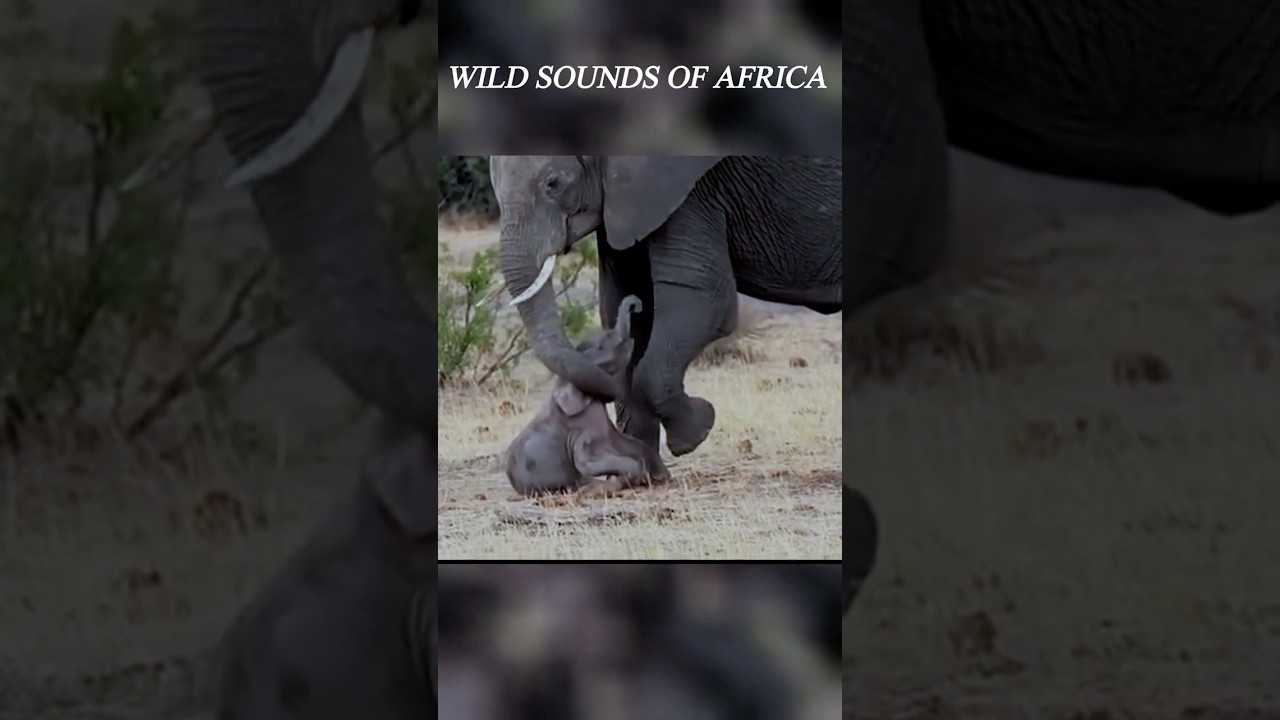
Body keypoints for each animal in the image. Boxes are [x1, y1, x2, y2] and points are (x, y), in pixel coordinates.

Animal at [505, 295, 653, 496]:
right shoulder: (578, 429)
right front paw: (634, 477)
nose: (636, 305)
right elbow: (585, 461)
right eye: (601, 346)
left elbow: (627, 443)